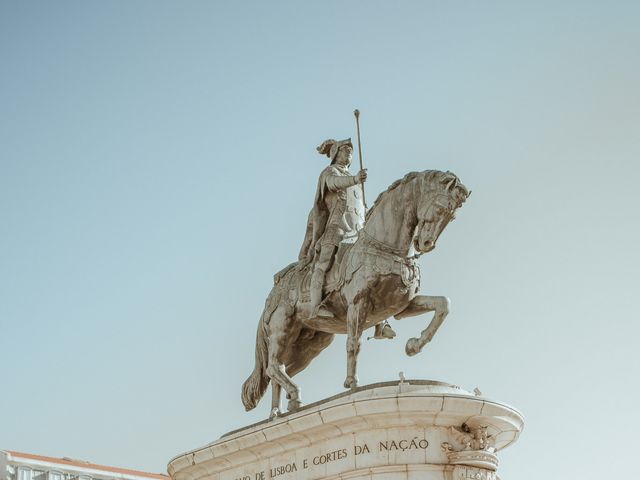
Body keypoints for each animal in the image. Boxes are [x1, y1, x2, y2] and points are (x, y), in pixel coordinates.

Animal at [242, 170, 468, 416]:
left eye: (452, 217)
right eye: (440, 208)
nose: (426, 243)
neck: (387, 248)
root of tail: (271, 295)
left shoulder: (401, 306)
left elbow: (443, 304)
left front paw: (414, 345)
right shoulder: (358, 304)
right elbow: (353, 343)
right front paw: (352, 383)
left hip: (312, 343)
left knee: (280, 371)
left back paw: (279, 411)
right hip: (282, 329)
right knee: (273, 367)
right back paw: (291, 398)